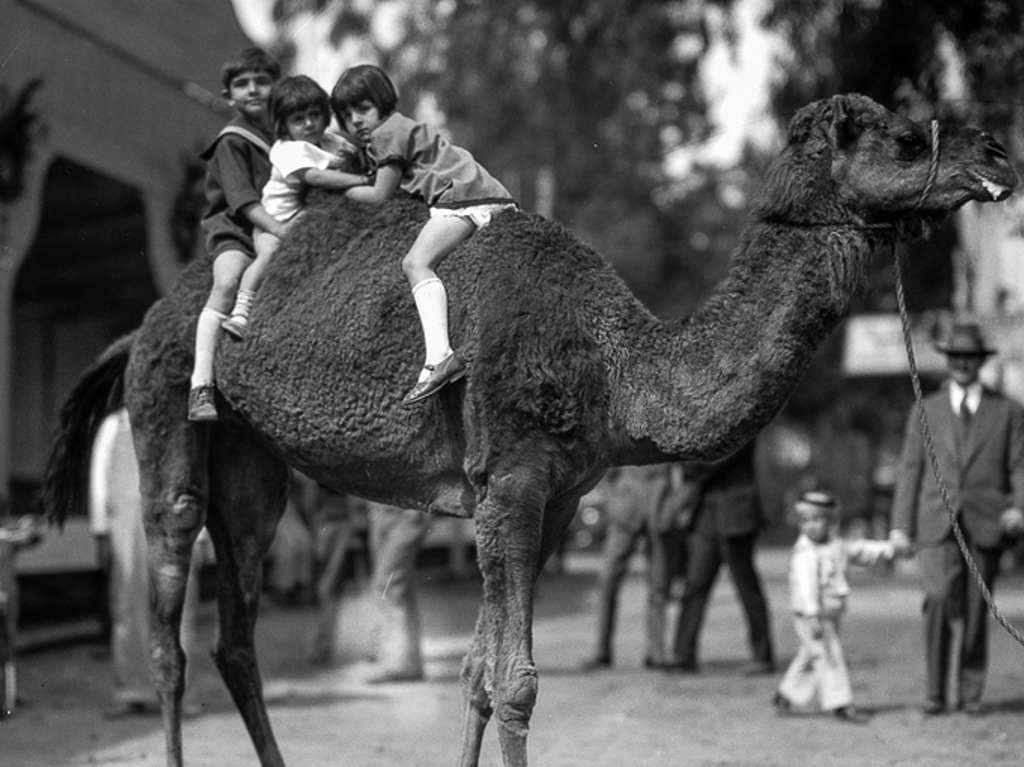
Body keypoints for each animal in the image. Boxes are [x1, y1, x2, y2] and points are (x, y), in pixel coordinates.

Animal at [41, 92, 1015, 761]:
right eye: (903, 137)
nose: (999, 151)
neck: (617, 366)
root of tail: (143, 323)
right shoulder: (509, 478)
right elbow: (516, 684)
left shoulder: (551, 498)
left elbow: (478, 675)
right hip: (166, 411)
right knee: (169, 617)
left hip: (253, 468)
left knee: (235, 627)